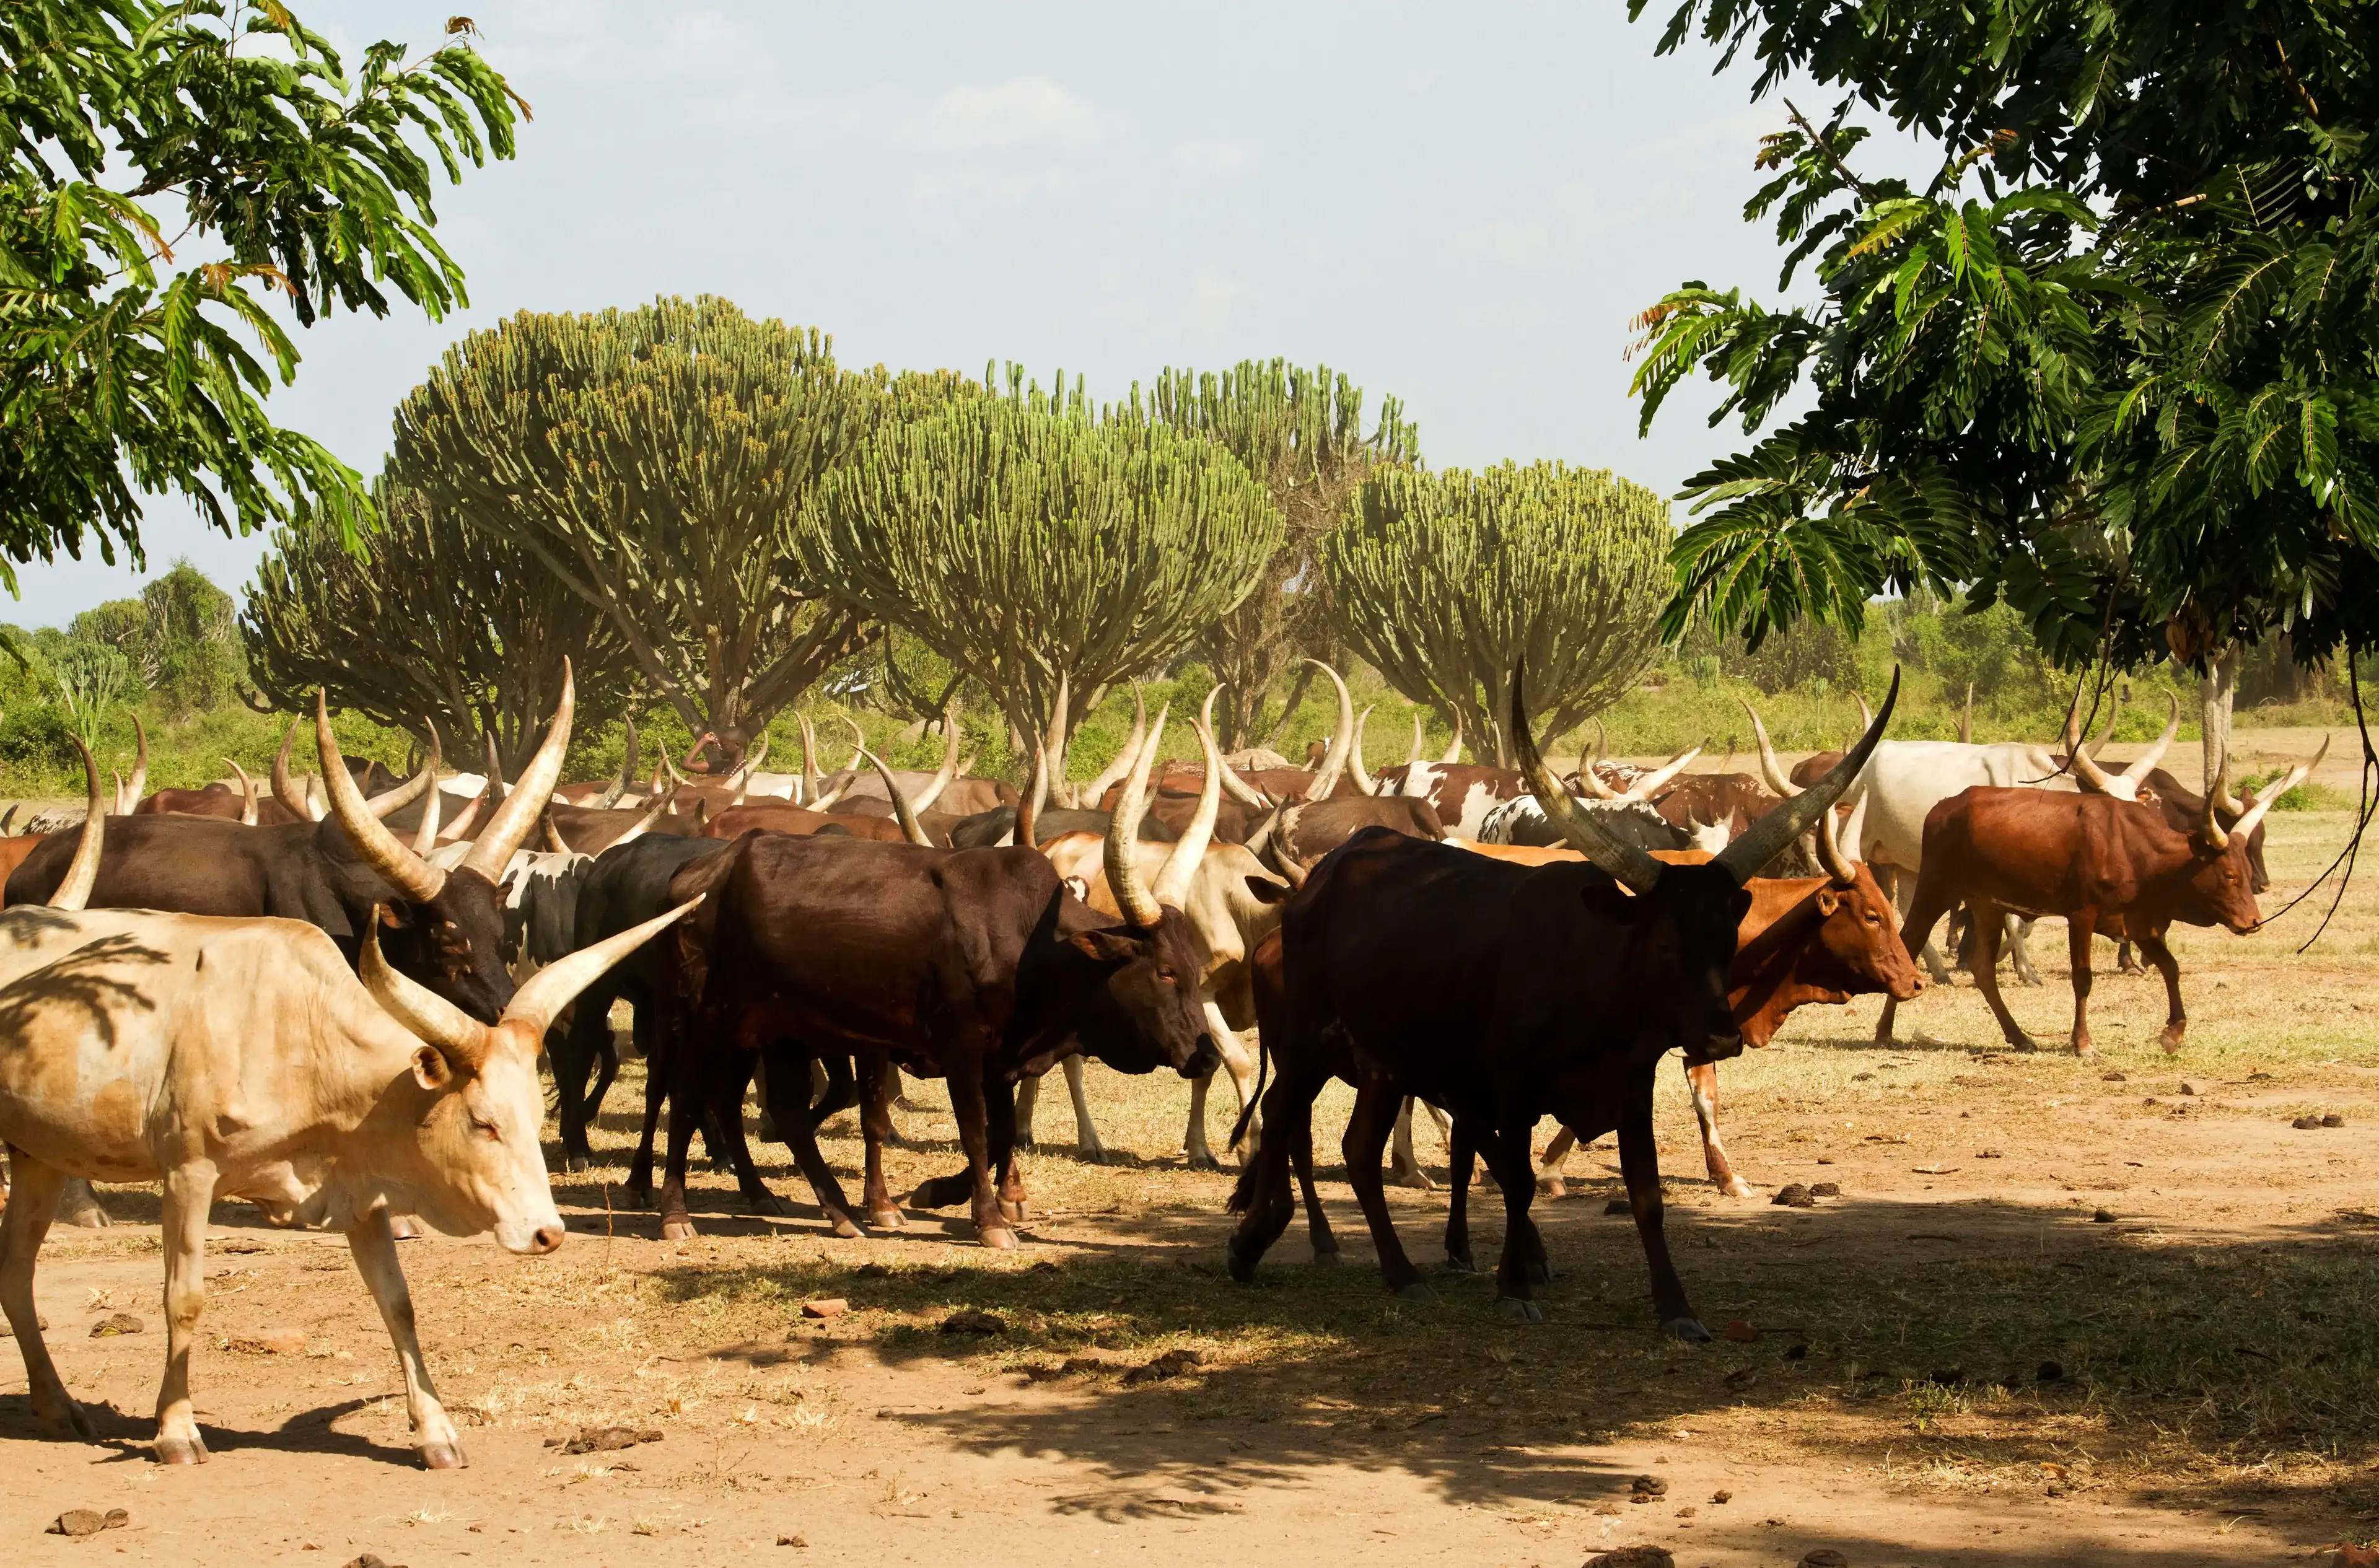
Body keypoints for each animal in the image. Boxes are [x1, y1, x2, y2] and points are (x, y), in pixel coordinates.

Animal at [637, 749, 1223, 1248]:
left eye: (1194, 969)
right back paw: (674, 1213)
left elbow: (1001, 1132)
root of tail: (699, 872)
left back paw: (832, 1211)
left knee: (776, 1110)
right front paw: (988, 1221)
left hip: (773, 1032)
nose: (1207, 1054)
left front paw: (941, 1193)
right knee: (684, 1099)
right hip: (700, 1020)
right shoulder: (961, 1048)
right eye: (1165, 972)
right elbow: (976, 1131)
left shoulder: (999, 1058)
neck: (1025, 937)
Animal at [1223, 665, 1896, 1326]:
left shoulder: (1631, 1087)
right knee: (1283, 1117)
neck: (1599, 983)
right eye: (1664, 944)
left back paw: (1401, 1273)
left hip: (1386, 1061)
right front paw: (1515, 1286)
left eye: (1725, 939)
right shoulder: (1511, 1089)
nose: (1720, 1036)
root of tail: (1323, 874)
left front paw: (1675, 1306)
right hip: (1307, 1042)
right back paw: (1258, 1237)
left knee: (1359, 1150)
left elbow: (1647, 1197)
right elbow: (1517, 1181)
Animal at [1885, 742, 2313, 1056]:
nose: (2252, 922)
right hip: (1935, 890)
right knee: (1910, 942)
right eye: (2230, 875)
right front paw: (2083, 1043)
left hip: (1986, 905)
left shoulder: (2139, 923)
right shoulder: (2082, 915)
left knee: (1983, 970)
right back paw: (1883, 1031)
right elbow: (2083, 979)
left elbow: (2171, 968)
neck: (2135, 848)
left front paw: (2173, 1033)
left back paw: (2019, 1036)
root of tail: (1944, 806)